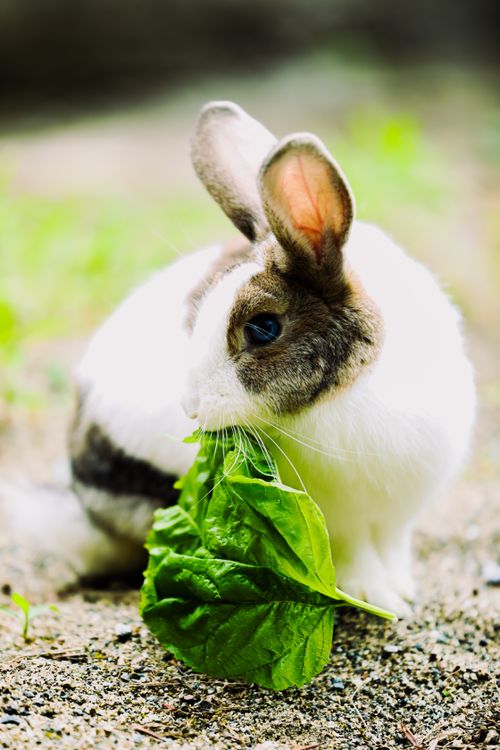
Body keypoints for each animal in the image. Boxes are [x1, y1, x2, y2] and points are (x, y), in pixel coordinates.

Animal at [8, 101, 476, 615]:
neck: (348, 391)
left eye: (263, 327)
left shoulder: (398, 516)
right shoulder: (343, 525)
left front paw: (402, 594)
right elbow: (357, 557)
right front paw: (377, 598)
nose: (191, 407)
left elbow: (392, 547)